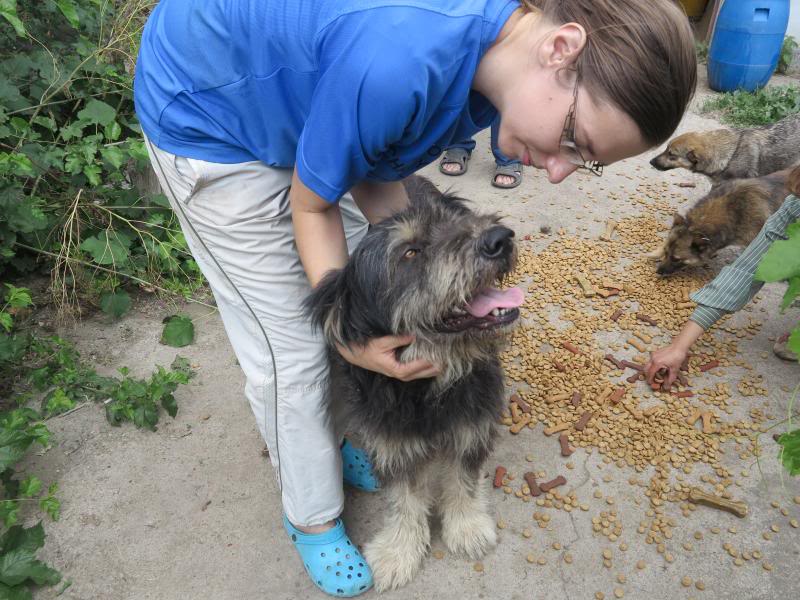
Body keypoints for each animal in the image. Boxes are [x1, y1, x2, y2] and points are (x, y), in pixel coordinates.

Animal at [304, 175, 520, 592]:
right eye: (410, 253)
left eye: (457, 221)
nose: (500, 238)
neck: (429, 388)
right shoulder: (392, 442)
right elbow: (403, 501)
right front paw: (399, 551)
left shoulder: (471, 425)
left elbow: (462, 479)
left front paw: (466, 527)